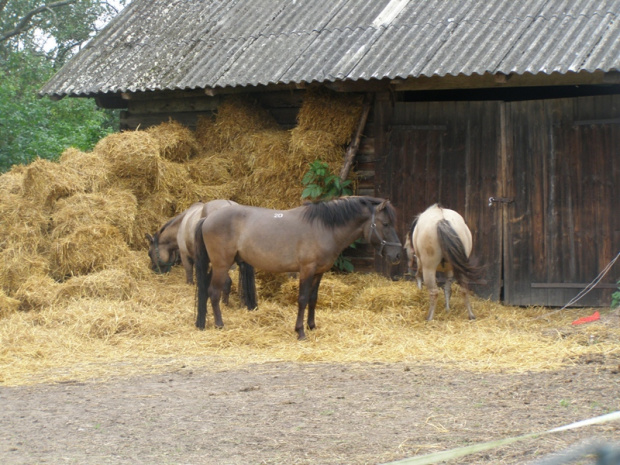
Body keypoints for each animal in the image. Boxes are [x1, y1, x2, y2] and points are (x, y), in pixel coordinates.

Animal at [196, 194, 404, 338]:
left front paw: (312, 326)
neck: (323, 228)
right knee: (214, 292)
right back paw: (219, 324)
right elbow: (303, 299)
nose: (397, 255)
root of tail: (207, 219)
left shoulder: (319, 272)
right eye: (385, 224)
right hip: (221, 265)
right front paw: (300, 331)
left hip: (217, 266)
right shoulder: (306, 270)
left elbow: (313, 298)